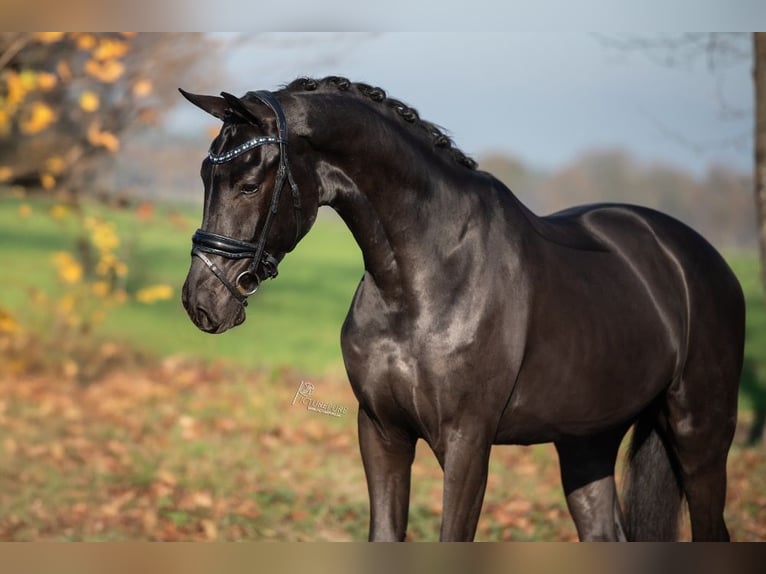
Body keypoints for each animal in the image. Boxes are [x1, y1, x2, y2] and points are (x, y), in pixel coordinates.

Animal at [179, 76, 745, 541]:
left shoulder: (468, 443)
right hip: (588, 443)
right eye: (205, 178)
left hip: (700, 439)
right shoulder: (381, 432)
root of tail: (697, 259)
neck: (424, 277)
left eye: (250, 184)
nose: (200, 301)